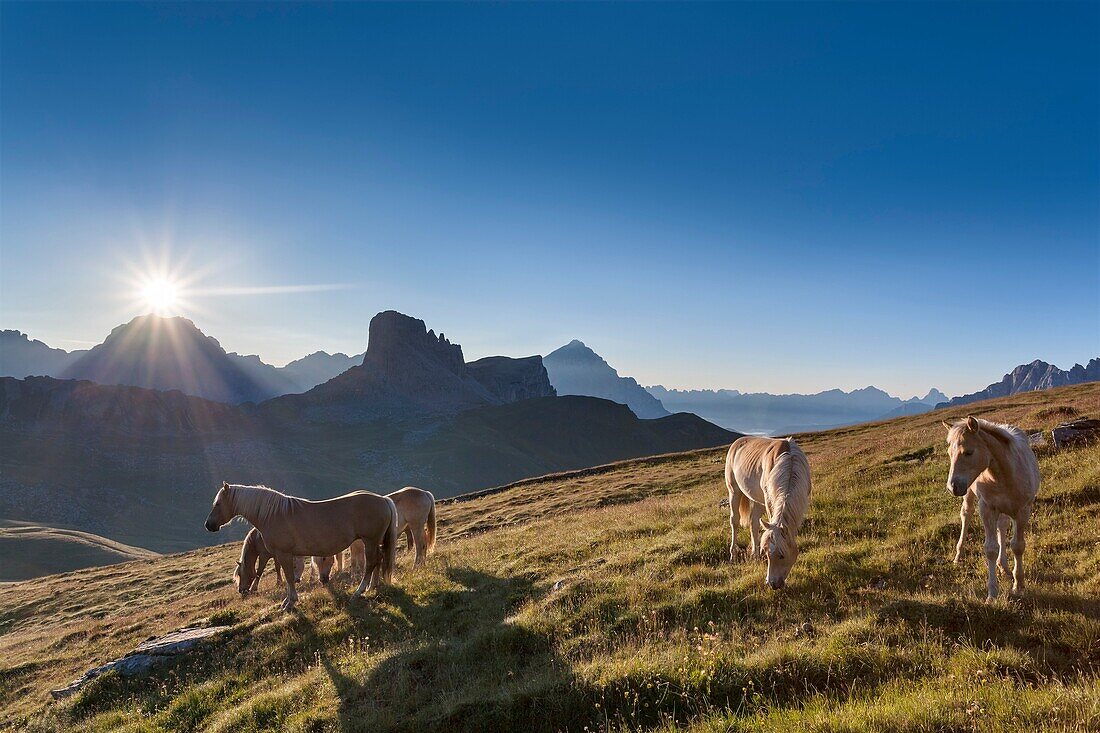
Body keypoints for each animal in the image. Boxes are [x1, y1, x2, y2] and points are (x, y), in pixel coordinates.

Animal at [204, 482, 398, 607]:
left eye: (218, 503)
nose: (208, 525)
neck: (273, 514)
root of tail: (383, 500)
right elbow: (289, 575)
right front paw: (289, 599)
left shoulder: (283, 554)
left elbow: (289, 577)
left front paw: (290, 602)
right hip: (374, 542)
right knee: (378, 561)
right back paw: (373, 586)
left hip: (370, 540)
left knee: (371, 563)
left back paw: (359, 591)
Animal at [726, 433, 814, 589]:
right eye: (766, 554)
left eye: (782, 555)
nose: (772, 584)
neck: (790, 464)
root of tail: (736, 443)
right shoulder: (768, 500)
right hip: (734, 491)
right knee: (734, 522)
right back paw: (733, 555)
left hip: (756, 498)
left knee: (754, 523)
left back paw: (754, 557)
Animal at [946, 416, 1038, 598]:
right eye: (949, 453)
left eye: (968, 452)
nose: (952, 487)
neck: (1005, 474)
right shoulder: (987, 509)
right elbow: (991, 549)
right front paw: (992, 593)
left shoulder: (1022, 511)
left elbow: (1017, 546)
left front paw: (1018, 585)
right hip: (970, 493)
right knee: (966, 515)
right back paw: (959, 555)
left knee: (1001, 526)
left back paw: (1004, 567)